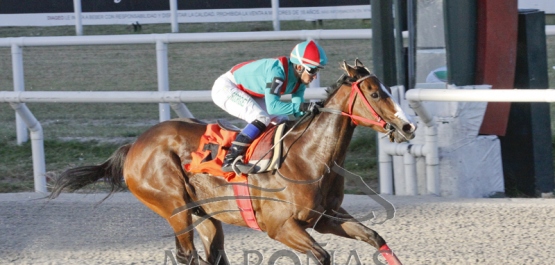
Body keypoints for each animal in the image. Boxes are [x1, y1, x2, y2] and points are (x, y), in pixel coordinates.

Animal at [48, 59, 416, 264]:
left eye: (386, 88)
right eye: (375, 93)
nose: (408, 126)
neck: (308, 157)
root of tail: (135, 144)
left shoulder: (326, 216)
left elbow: (375, 237)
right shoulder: (280, 226)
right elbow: (322, 256)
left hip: (207, 216)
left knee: (210, 257)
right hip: (175, 209)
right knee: (187, 256)